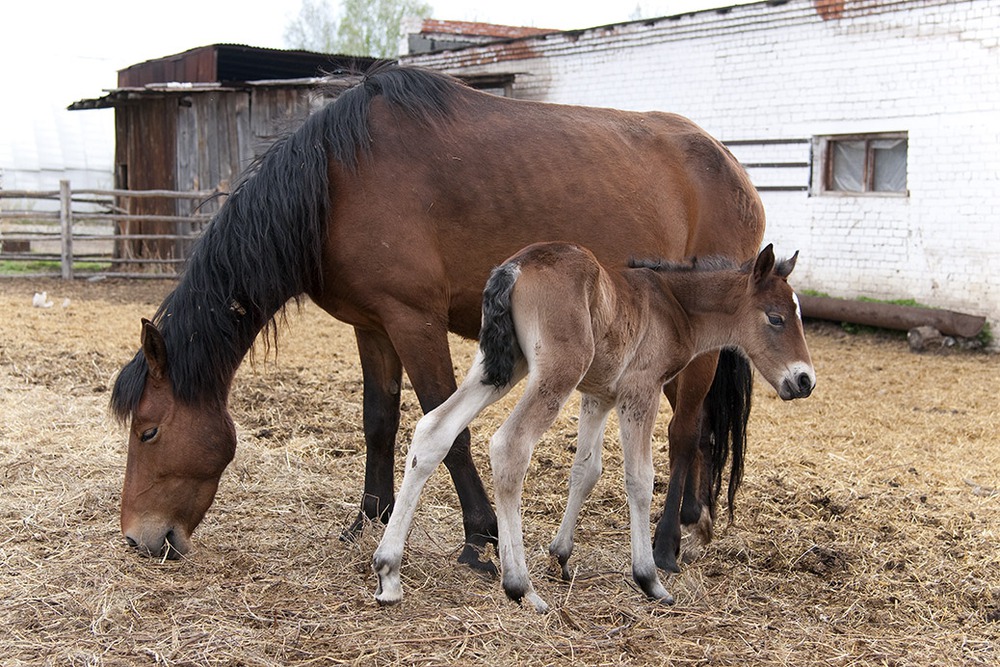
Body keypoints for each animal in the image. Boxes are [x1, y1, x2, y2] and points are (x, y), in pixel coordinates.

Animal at [111, 64, 764, 576]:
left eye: (148, 432)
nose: (139, 538)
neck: (337, 182)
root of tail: (733, 165)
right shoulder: (373, 326)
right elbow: (378, 421)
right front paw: (366, 521)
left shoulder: (414, 321)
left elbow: (447, 429)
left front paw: (480, 537)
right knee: (701, 431)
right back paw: (694, 520)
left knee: (684, 433)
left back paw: (668, 545)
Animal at [374, 243, 812, 612]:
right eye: (775, 318)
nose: (805, 380)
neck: (673, 305)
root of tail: (515, 267)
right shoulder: (640, 390)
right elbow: (639, 478)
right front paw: (648, 578)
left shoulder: (598, 396)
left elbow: (586, 470)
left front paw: (561, 555)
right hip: (557, 371)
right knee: (510, 445)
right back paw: (521, 586)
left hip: (500, 367)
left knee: (434, 430)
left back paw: (389, 571)